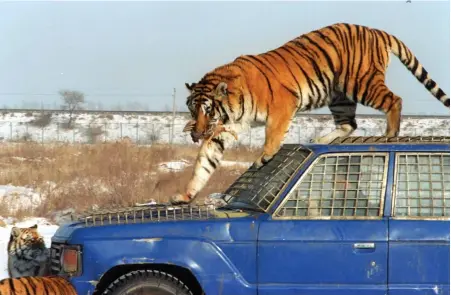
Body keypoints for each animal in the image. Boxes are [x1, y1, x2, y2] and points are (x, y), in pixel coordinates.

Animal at [169, 22, 448, 206]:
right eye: (192, 109)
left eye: (208, 110)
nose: (196, 133)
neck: (231, 106)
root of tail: (375, 30)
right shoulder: (227, 128)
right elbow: (204, 162)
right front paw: (185, 195)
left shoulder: (282, 105)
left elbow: (273, 134)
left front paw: (263, 157)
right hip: (340, 96)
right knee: (349, 124)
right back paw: (322, 139)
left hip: (360, 83)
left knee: (394, 101)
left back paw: (390, 133)